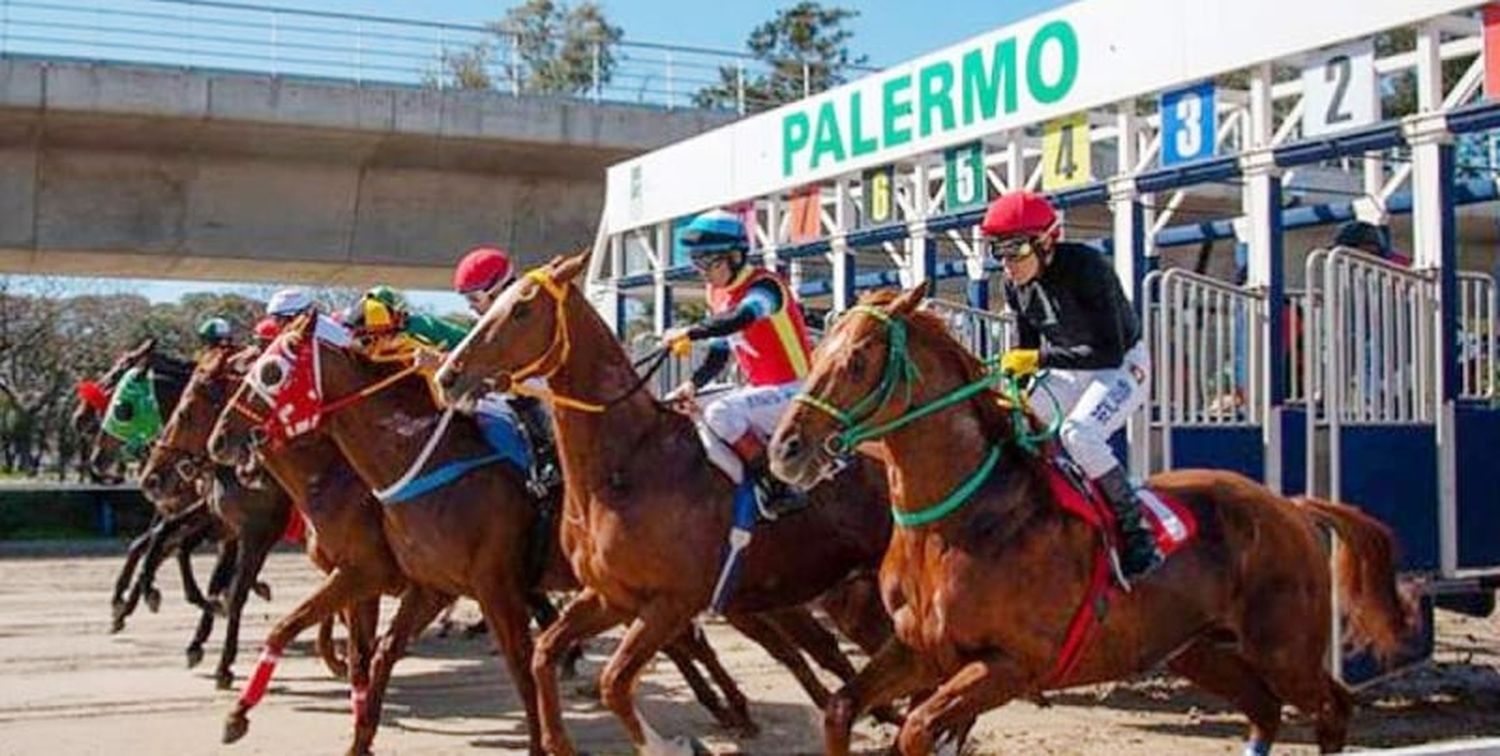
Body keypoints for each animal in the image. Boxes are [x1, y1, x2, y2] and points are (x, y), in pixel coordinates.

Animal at [208, 313, 774, 750]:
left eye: (271, 371)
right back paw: (725, 707)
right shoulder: (428, 585)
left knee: (686, 638)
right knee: (681, 639)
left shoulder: (459, 581)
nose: (220, 439)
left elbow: (518, 666)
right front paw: (345, 732)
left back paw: (730, 708)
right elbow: (368, 652)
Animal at [435, 253, 900, 756]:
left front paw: (672, 744)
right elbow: (545, 653)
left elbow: (615, 682)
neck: (626, 464)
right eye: (490, 304)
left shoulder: (672, 602)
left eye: (522, 308)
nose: (448, 375)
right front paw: (560, 741)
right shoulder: (611, 596)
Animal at [762, 285, 1416, 756]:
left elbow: (918, 729)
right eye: (817, 353)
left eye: (857, 360)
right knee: (1264, 709)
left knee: (1332, 708)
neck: (960, 521)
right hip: (1196, 647)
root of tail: (1291, 505)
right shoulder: (918, 648)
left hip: (1284, 647)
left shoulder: (1011, 664)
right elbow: (841, 709)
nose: (785, 448)